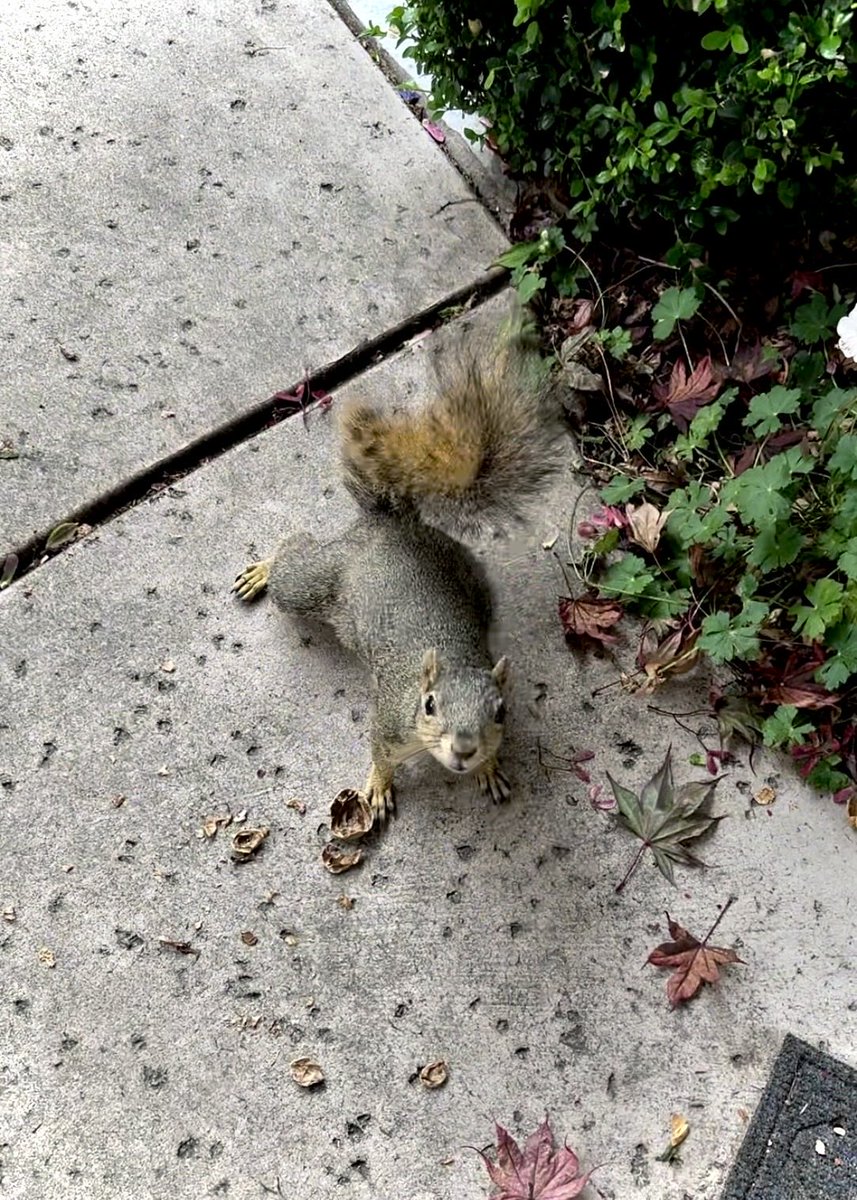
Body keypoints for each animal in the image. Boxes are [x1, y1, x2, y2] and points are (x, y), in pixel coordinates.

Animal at [233, 310, 565, 825]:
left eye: (501, 712)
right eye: (429, 705)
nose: (464, 750)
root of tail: (390, 523)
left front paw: (489, 768)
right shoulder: (388, 721)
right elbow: (378, 753)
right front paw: (378, 785)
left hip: (474, 580)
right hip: (315, 581)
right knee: (295, 557)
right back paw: (264, 570)